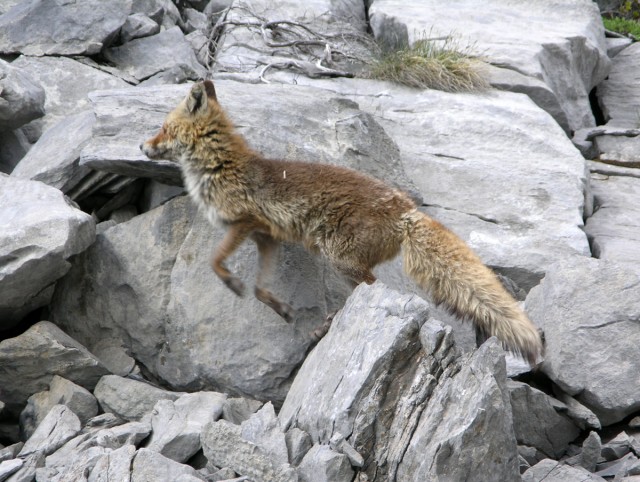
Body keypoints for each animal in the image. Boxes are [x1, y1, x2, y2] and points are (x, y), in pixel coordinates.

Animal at [140, 80, 540, 366]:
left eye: (164, 128)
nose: (142, 147)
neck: (220, 166)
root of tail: (407, 210)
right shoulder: (266, 237)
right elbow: (260, 288)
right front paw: (279, 308)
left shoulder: (244, 223)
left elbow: (216, 262)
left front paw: (231, 283)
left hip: (340, 259)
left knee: (373, 289)